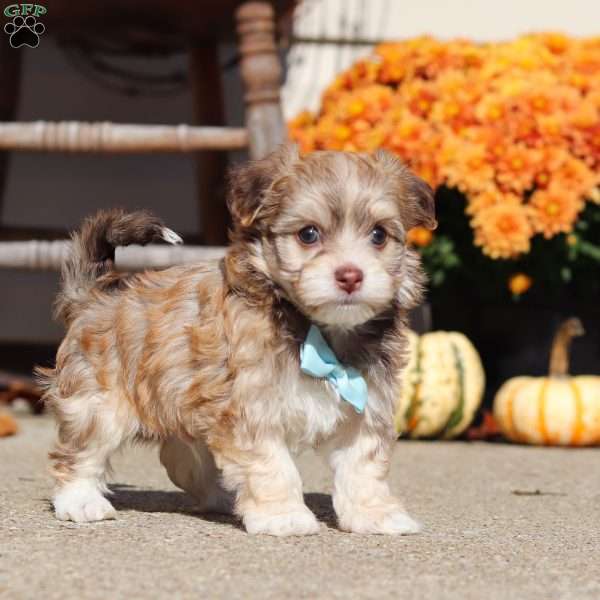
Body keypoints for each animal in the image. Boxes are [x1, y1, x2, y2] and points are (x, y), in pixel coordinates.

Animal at [42, 144, 436, 536]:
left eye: (379, 235)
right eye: (308, 234)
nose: (351, 275)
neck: (316, 329)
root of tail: (94, 295)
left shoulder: (366, 407)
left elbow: (362, 465)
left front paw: (374, 513)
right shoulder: (251, 408)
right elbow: (273, 465)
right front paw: (283, 515)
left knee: (183, 457)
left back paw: (222, 497)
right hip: (98, 402)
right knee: (81, 452)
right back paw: (81, 501)